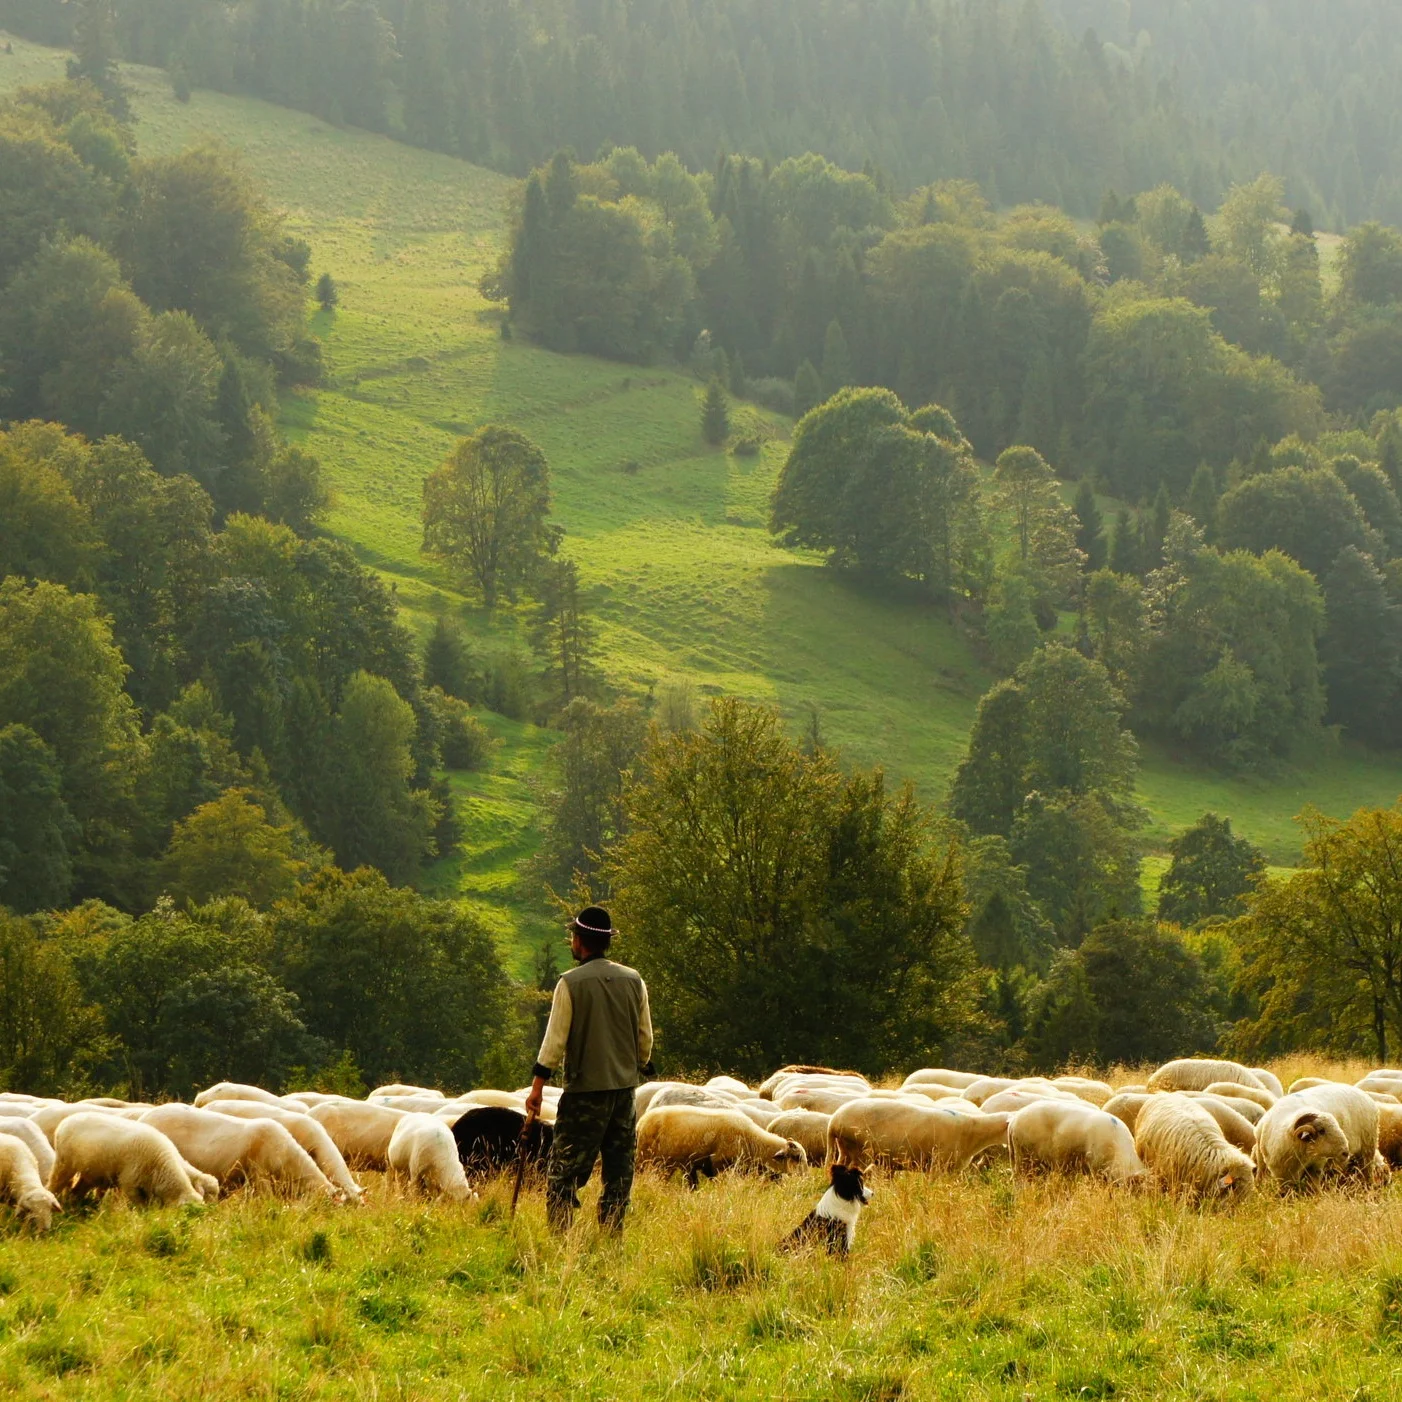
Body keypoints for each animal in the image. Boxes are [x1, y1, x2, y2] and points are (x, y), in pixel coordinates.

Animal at [49, 1113, 205, 1208]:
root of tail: (66, 1121)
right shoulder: (129, 1181)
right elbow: (141, 1206)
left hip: (90, 1173)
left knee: (75, 1191)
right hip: (64, 1163)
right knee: (55, 1183)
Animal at [637, 1107, 807, 1188]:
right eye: (796, 1157)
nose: (805, 1178)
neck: (753, 1142)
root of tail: (642, 1121)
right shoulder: (718, 1164)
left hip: (667, 1163)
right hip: (644, 1157)